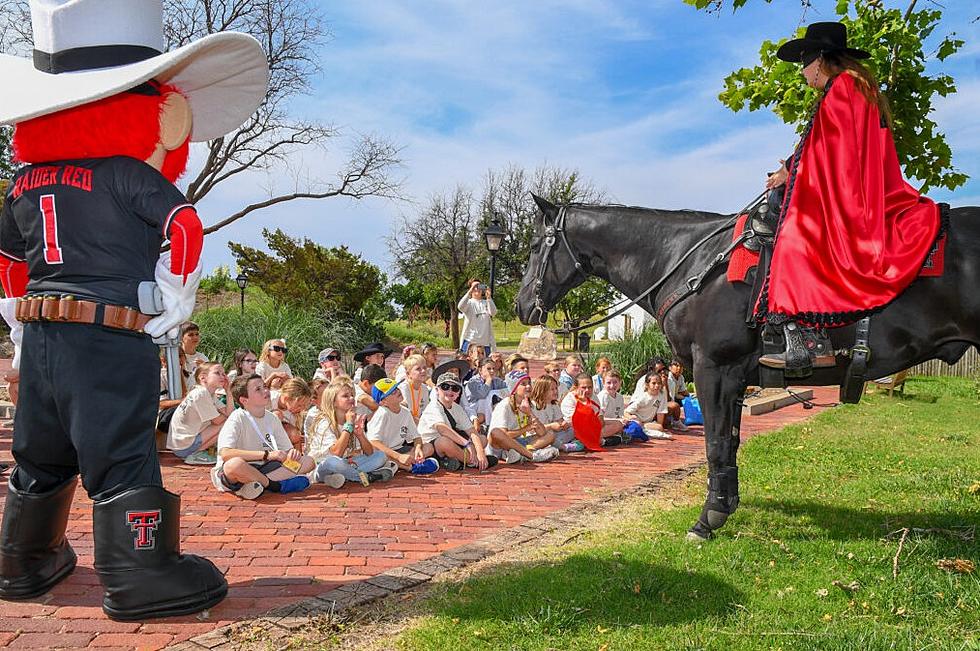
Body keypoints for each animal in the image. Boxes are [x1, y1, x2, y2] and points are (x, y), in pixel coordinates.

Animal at [512, 196, 980, 544]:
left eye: (535, 246)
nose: (520, 305)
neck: (691, 264)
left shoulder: (714, 370)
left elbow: (716, 444)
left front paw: (709, 519)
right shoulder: (734, 380)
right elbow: (730, 443)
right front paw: (726, 504)